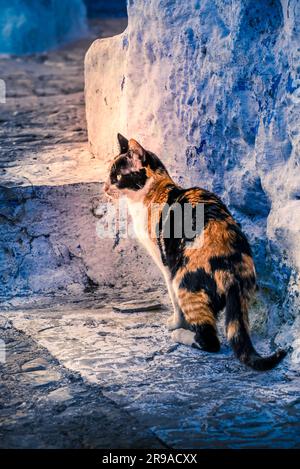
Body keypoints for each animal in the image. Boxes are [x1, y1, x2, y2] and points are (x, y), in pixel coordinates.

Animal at [104, 133, 288, 372]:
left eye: (116, 176)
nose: (104, 187)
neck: (156, 190)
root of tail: (230, 269)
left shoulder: (165, 263)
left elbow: (173, 300)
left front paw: (175, 323)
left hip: (184, 281)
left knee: (210, 340)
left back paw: (180, 334)